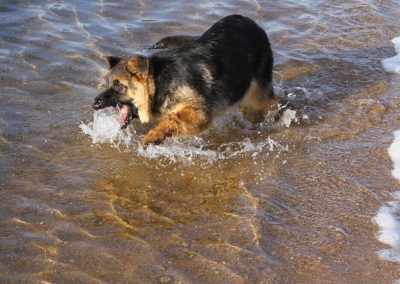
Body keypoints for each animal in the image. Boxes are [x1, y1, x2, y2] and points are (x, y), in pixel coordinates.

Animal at [92, 14, 278, 145]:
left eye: (118, 86)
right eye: (109, 84)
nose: (94, 103)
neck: (159, 83)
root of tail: (252, 22)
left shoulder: (200, 114)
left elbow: (171, 119)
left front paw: (153, 136)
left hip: (258, 92)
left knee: (272, 102)